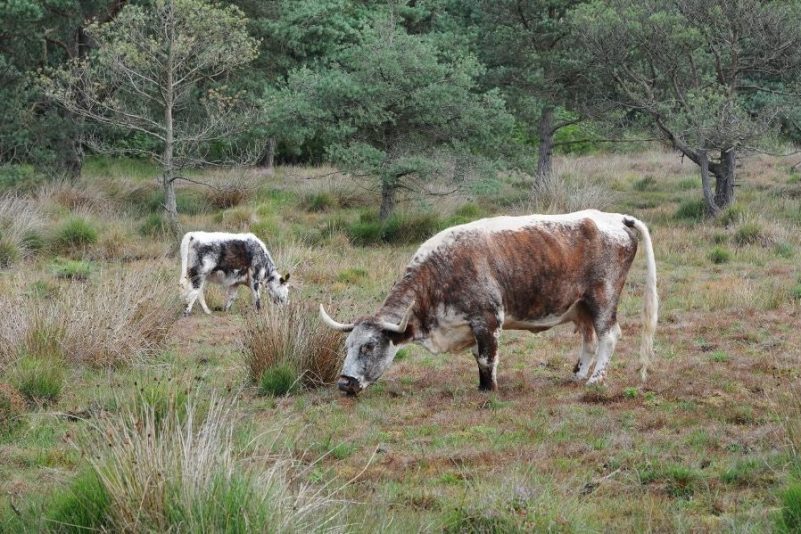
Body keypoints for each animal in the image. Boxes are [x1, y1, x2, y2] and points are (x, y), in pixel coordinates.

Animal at [318, 209, 656, 394]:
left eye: (369, 346)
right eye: (347, 345)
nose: (345, 383)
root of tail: (615, 218)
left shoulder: (488, 321)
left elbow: (486, 358)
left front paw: (488, 388)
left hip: (603, 298)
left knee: (608, 335)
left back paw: (595, 379)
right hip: (581, 306)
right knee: (588, 339)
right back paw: (578, 374)